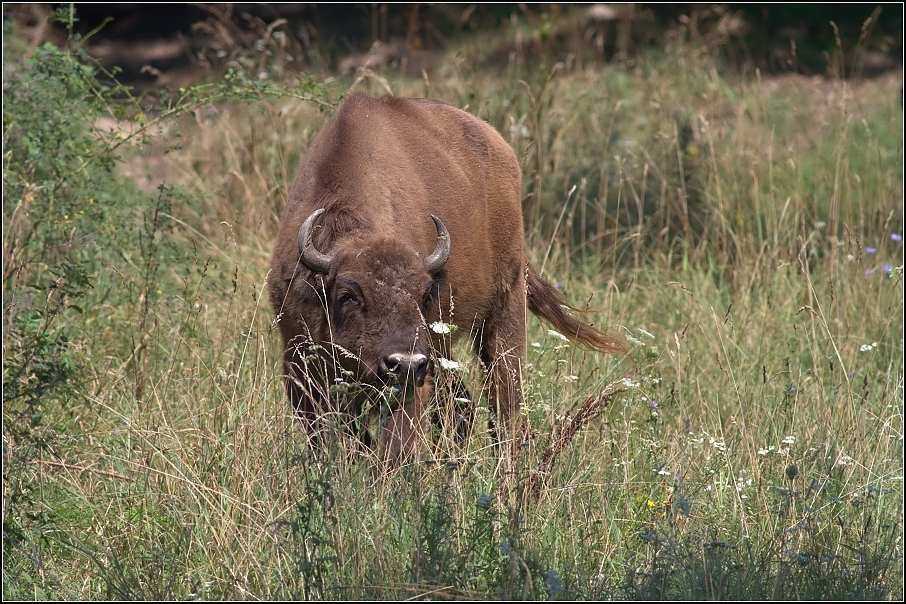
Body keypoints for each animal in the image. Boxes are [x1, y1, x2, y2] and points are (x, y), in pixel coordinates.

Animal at [268, 92, 620, 460]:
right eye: (348, 295)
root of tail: (501, 148)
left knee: (506, 402)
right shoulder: (299, 368)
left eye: (424, 294)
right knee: (462, 404)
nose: (404, 364)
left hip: (503, 312)